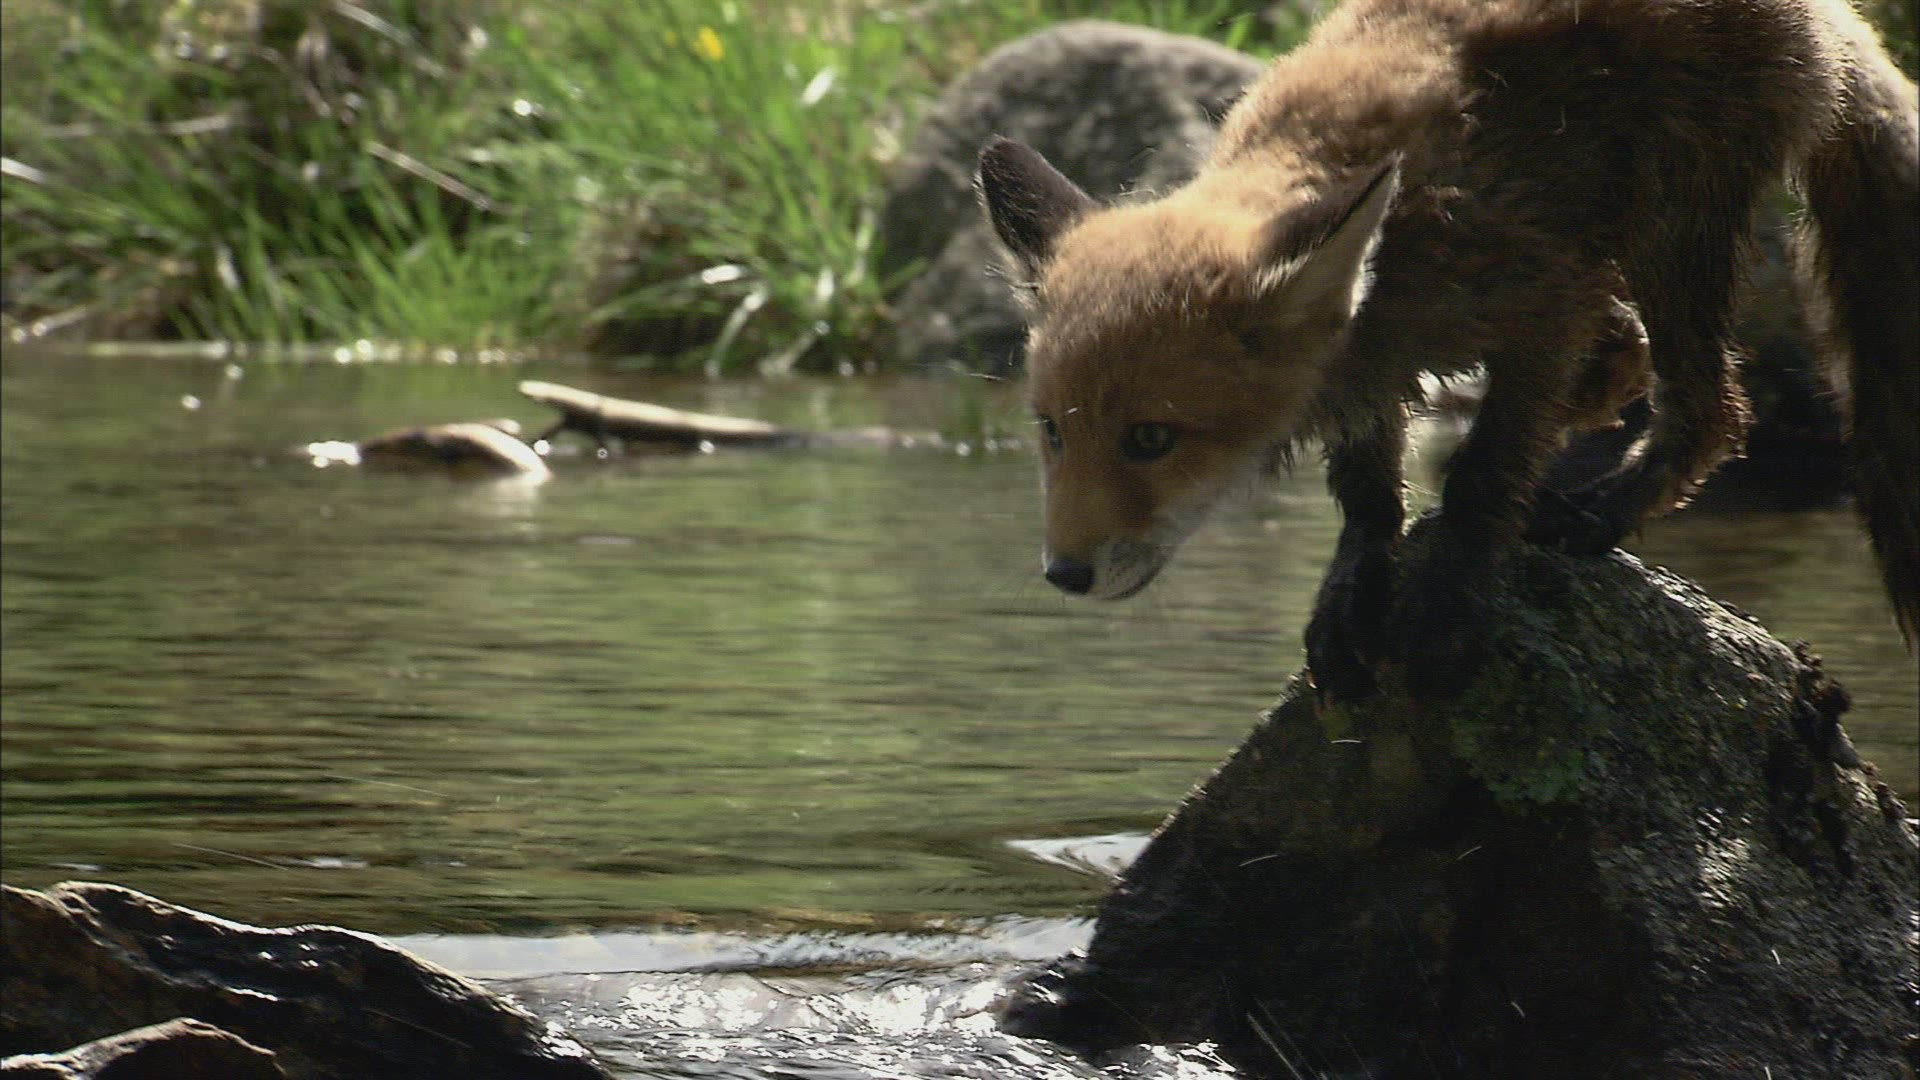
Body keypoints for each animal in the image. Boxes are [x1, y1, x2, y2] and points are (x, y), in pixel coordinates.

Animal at [977, 0, 1919, 697]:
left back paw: (1603, 510)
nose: (1064, 573)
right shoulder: (1380, 363)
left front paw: (1446, 594)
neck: (1395, 248)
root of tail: (1829, 20)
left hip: (1675, 223)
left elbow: (1483, 471)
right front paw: (1355, 583)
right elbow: (1368, 493)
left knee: (1713, 410)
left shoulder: (1543, 295)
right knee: (1632, 359)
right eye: (1053, 432)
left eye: (1151, 439)